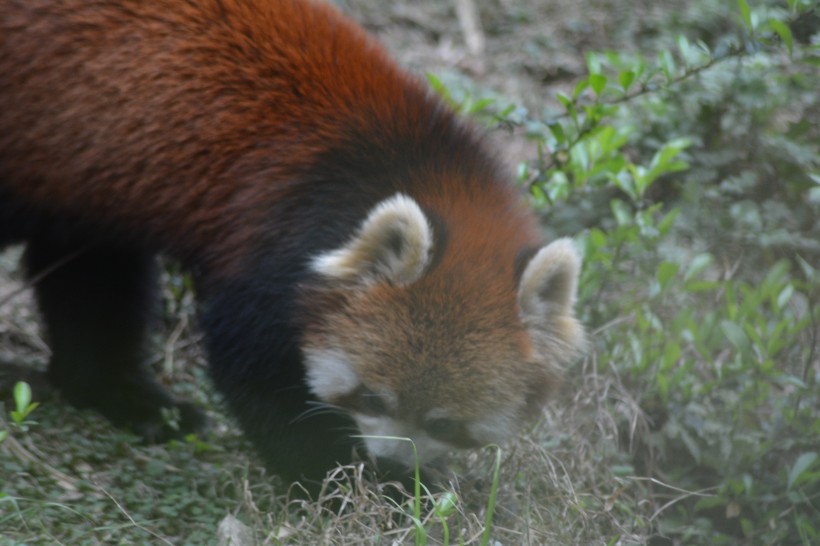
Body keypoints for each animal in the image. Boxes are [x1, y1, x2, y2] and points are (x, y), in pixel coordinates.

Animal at [0, 0, 584, 490]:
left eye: (446, 423)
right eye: (372, 396)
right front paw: (348, 483)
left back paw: (124, 395)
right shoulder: (267, 245)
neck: (420, 162)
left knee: (93, 279)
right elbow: (262, 380)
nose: (390, 460)